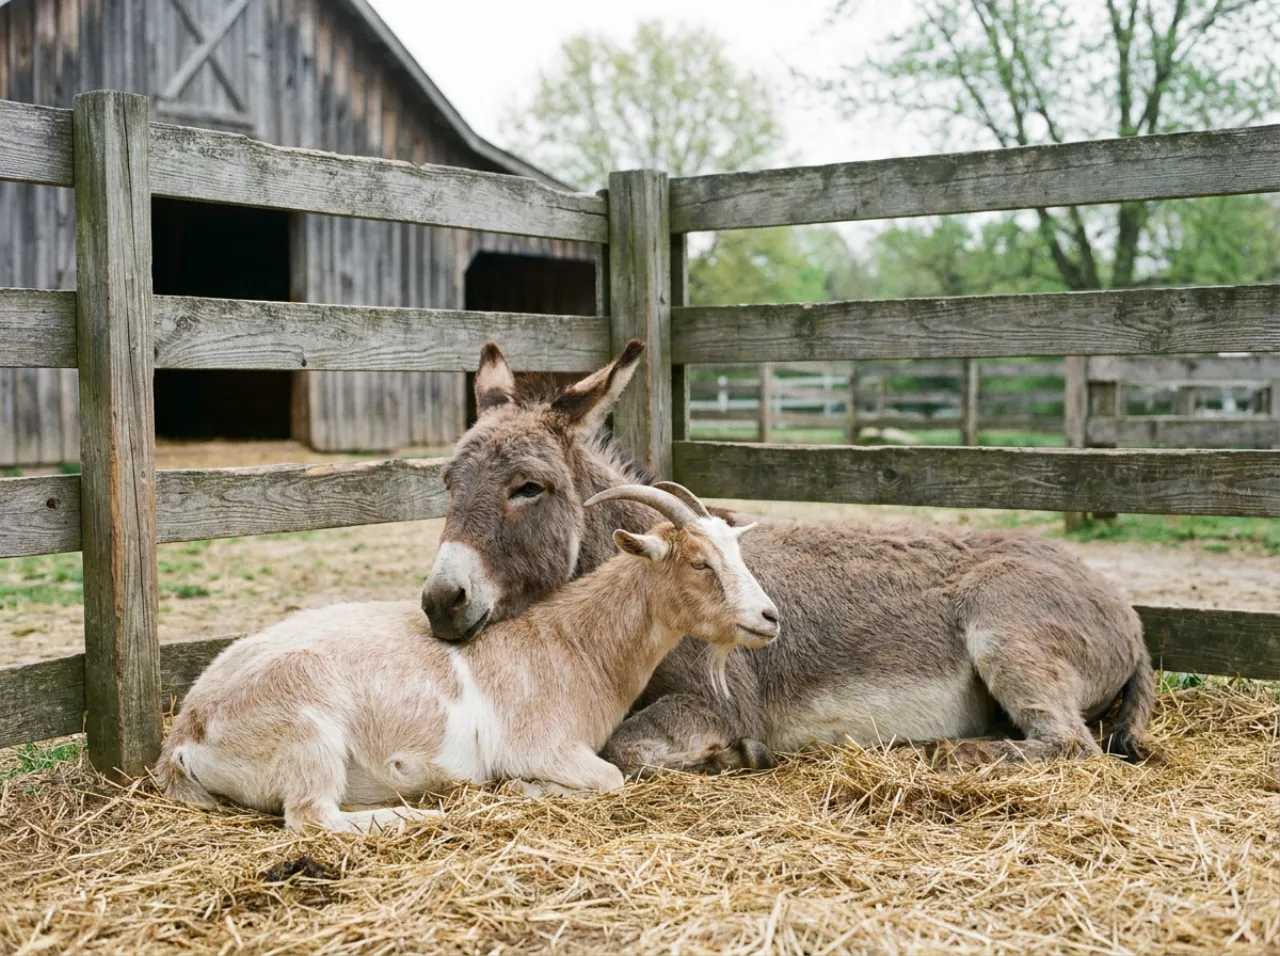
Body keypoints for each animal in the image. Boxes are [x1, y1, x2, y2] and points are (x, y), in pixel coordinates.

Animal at [156, 484, 778, 832]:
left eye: (736, 551)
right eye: (699, 562)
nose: (769, 617)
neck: (573, 645)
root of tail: (185, 732)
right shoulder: (540, 745)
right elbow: (610, 778)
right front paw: (520, 790)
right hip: (307, 733)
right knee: (311, 818)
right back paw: (415, 816)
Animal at [421, 341, 1154, 775]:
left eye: (529, 488)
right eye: (449, 483)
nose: (440, 601)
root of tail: (1127, 611)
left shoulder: (722, 699)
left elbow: (627, 745)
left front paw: (731, 757)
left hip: (1007, 631)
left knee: (1068, 744)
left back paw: (944, 750)